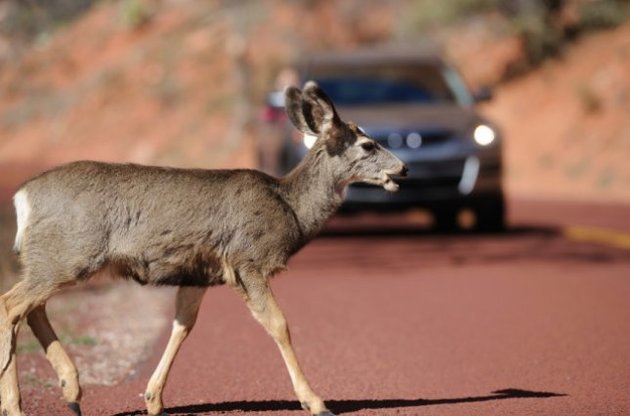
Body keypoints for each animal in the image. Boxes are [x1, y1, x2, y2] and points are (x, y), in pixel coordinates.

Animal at [0, 82, 410, 416]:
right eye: (368, 144)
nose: (403, 169)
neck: (290, 207)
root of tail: (22, 197)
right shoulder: (248, 260)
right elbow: (279, 324)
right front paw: (316, 402)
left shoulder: (198, 273)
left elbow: (183, 325)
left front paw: (154, 399)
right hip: (68, 255)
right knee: (11, 304)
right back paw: (18, 405)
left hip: (54, 259)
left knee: (32, 308)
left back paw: (71, 390)